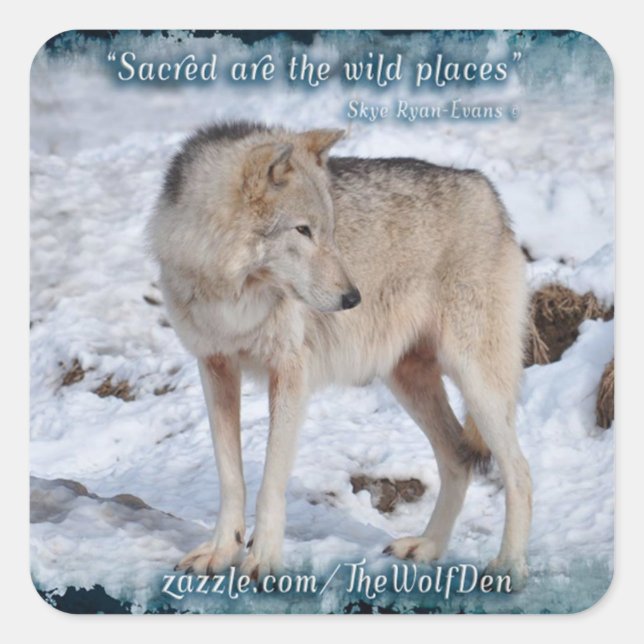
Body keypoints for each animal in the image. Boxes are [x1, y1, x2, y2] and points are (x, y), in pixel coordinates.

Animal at [148, 121, 532, 589]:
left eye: (328, 230)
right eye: (302, 231)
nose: (353, 298)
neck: (232, 290)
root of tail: (485, 189)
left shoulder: (290, 375)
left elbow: (270, 482)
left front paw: (264, 561)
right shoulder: (214, 367)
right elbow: (230, 478)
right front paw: (222, 552)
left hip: (477, 384)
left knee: (519, 472)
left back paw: (508, 566)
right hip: (408, 381)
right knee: (457, 459)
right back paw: (427, 548)